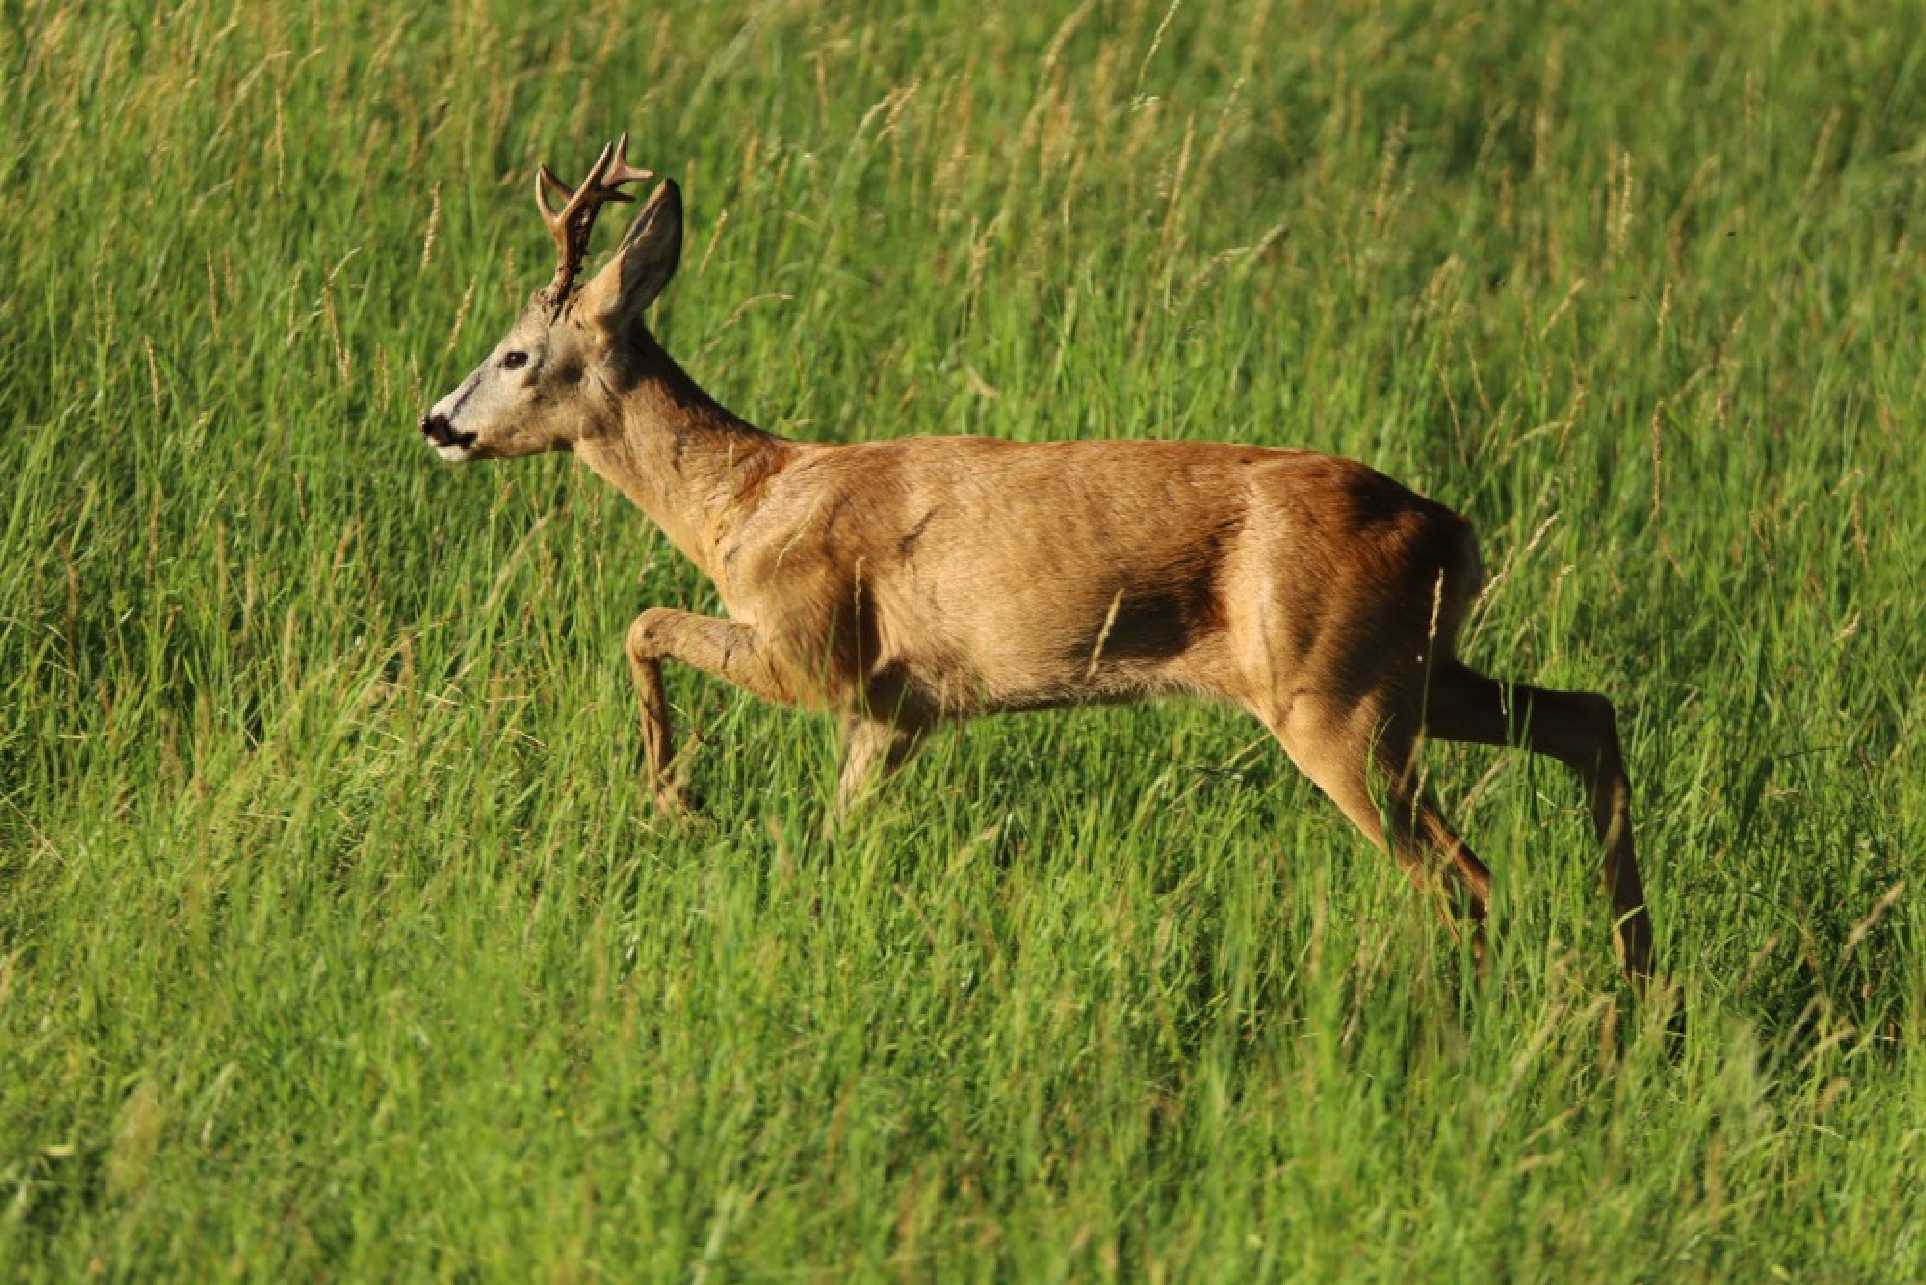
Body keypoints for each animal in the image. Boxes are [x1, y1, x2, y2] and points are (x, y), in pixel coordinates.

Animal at [417, 138, 1656, 986]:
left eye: (515, 353)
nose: (438, 422)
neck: (747, 501)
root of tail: (1452, 530)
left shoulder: (813, 648)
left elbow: (642, 624)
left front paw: (677, 802)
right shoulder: (898, 711)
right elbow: (837, 835)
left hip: (1337, 701)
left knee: (1465, 876)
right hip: (1412, 673)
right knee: (1585, 719)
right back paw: (1643, 993)